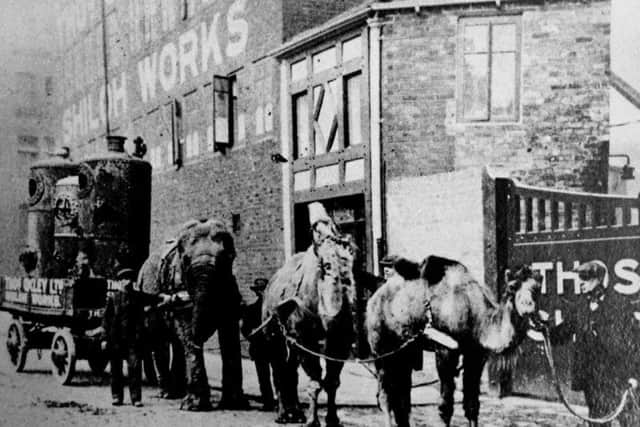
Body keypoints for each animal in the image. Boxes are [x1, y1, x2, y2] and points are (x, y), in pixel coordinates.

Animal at [138, 219, 248, 412]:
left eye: (225, 258)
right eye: (186, 259)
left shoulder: (230, 290)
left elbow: (229, 333)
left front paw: (235, 403)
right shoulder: (177, 291)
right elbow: (187, 330)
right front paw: (195, 406)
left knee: (177, 344)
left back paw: (179, 391)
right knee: (161, 341)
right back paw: (167, 393)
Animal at [262, 205, 358, 427]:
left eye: (350, 263)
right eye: (325, 265)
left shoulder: (339, 345)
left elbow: (332, 382)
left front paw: (332, 419)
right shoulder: (305, 341)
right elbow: (314, 383)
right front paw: (313, 421)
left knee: (290, 372)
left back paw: (296, 412)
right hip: (273, 339)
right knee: (279, 371)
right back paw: (282, 414)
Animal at [368, 258, 544, 427]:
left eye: (537, 288)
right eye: (512, 287)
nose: (528, 306)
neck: (473, 312)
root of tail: (374, 297)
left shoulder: (476, 355)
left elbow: (472, 406)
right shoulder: (445, 350)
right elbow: (445, 407)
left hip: (405, 350)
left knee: (403, 395)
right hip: (381, 348)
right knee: (385, 396)